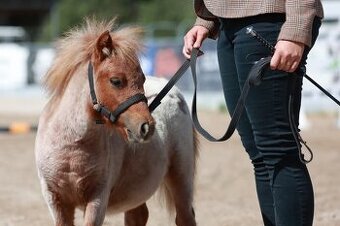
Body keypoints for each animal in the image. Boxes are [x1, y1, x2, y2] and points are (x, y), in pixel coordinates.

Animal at [34, 19, 197, 226]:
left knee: (185, 216)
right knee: (138, 215)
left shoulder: (98, 198)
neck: (72, 146)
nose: (147, 127)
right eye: (116, 81)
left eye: (142, 79)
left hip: (181, 178)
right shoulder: (55, 200)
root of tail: (176, 94)